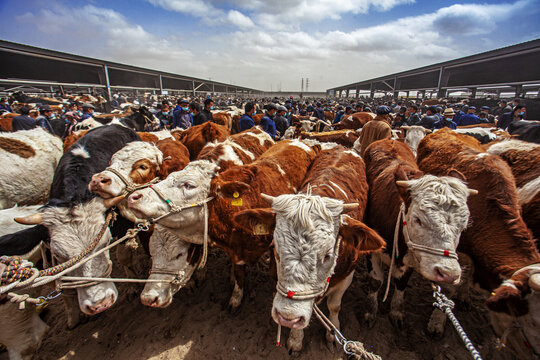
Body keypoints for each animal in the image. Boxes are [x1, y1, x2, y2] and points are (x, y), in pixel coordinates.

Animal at [234, 146, 386, 354]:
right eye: (275, 250)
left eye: (328, 255)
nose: (287, 317)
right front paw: (296, 339)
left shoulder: (347, 276)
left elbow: (334, 305)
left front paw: (332, 332)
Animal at [364, 140, 474, 330]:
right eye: (417, 219)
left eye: (464, 225)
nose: (448, 274)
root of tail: (390, 140)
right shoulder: (373, 250)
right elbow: (375, 281)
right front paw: (371, 312)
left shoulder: (413, 257)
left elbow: (401, 283)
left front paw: (396, 312)